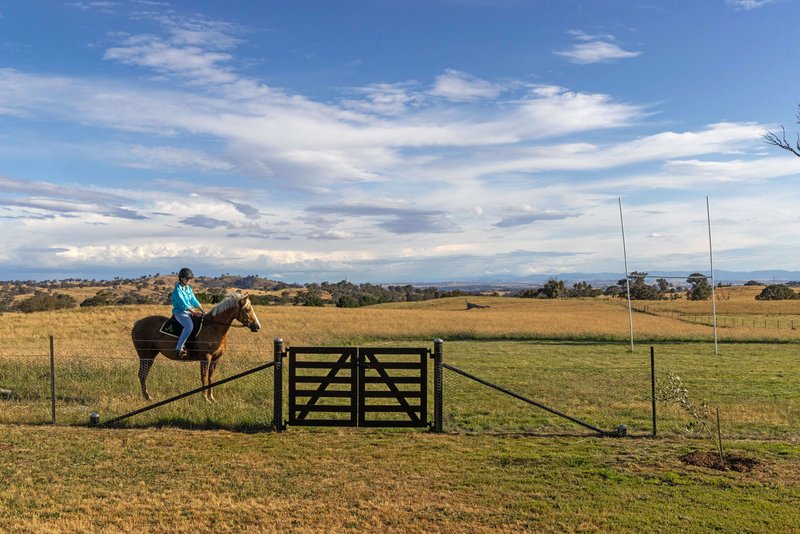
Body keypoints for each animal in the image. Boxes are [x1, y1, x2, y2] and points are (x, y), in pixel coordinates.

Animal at [132, 294, 260, 402]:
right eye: (248, 310)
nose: (257, 326)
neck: (213, 327)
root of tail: (138, 323)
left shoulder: (215, 359)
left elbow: (211, 378)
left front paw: (212, 398)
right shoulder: (205, 358)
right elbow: (204, 377)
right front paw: (205, 399)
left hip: (150, 355)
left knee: (143, 374)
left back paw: (147, 396)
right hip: (145, 355)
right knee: (142, 374)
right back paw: (147, 397)